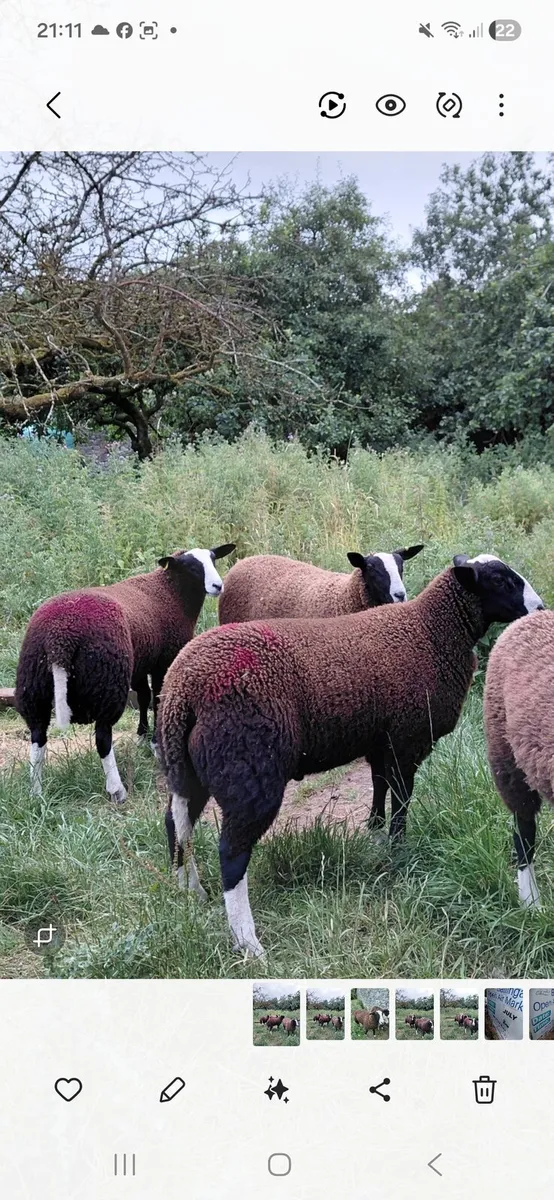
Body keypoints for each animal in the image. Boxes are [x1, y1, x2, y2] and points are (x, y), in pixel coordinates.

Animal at [14, 543, 235, 802]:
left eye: (213, 559)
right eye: (191, 566)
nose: (218, 586)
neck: (170, 593)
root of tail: (59, 637)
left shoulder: (140, 662)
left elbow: (143, 696)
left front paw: (142, 737)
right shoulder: (164, 660)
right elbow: (157, 697)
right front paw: (155, 744)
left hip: (34, 685)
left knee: (38, 735)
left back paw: (36, 792)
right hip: (107, 681)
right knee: (102, 738)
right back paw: (117, 790)